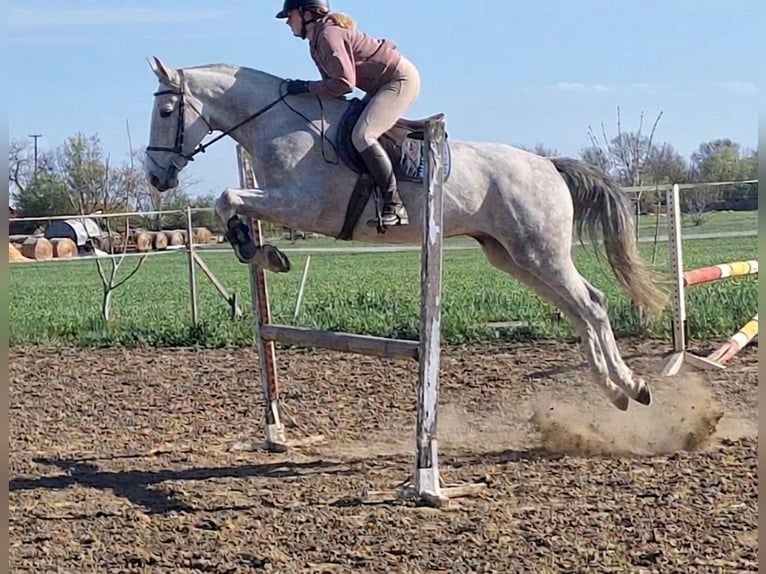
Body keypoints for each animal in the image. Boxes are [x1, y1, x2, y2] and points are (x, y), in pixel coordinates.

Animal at [143, 56, 668, 411]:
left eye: (167, 112)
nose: (156, 177)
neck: (279, 124)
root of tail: (549, 165)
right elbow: (228, 203)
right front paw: (260, 250)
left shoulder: (303, 204)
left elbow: (227, 198)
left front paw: (263, 251)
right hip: (513, 256)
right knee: (581, 309)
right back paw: (614, 391)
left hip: (541, 253)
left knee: (592, 305)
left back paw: (633, 386)